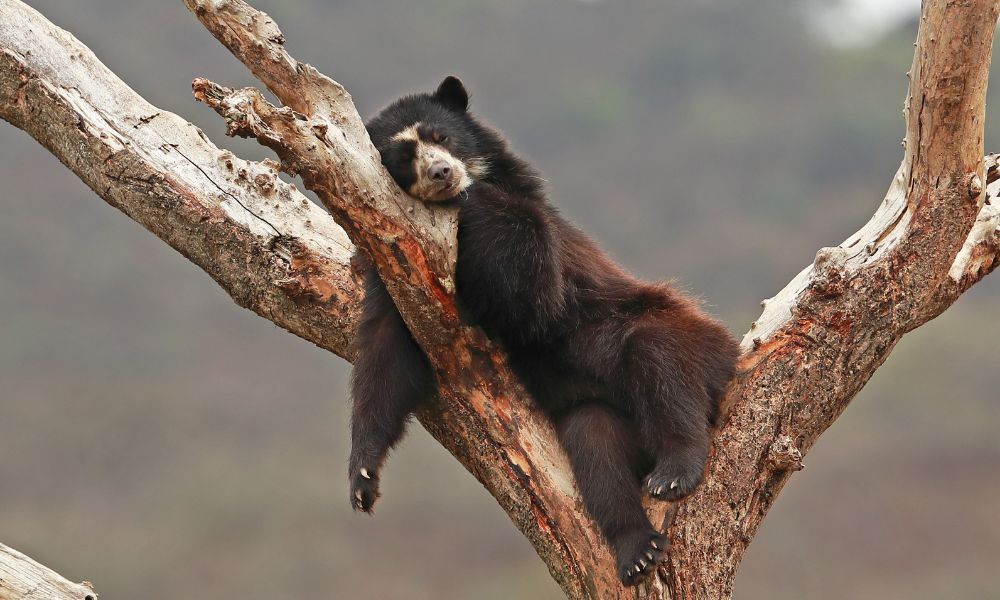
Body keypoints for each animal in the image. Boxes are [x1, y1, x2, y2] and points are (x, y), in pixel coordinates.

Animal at [348, 77, 740, 588]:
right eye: (402, 158)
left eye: (443, 137)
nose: (441, 173)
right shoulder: (397, 265)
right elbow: (386, 352)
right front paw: (363, 479)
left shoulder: (536, 235)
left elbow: (535, 295)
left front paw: (475, 197)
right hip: (605, 417)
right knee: (594, 440)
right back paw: (637, 550)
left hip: (692, 338)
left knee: (659, 355)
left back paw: (674, 471)